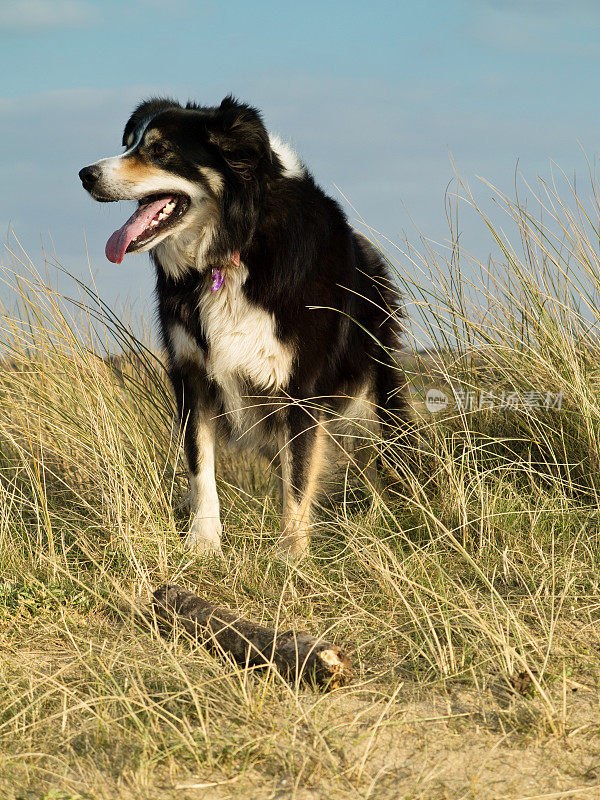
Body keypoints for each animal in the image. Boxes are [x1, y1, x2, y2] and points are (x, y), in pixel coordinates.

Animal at [79, 95, 412, 556]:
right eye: (129, 145)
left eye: (159, 150)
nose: (85, 175)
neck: (233, 247)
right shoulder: (192, 374)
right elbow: (201, 466)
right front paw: (203, 545)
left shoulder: (301, 389)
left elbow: (298, 480)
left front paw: (290, 556)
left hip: (375, 396)